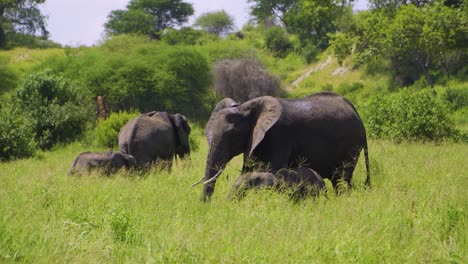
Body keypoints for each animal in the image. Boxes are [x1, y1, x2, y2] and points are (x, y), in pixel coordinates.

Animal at [194, 92, 370, 201]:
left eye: (232, 135)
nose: (205, 206)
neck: (246, 107)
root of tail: (355, 110)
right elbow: (248, 171)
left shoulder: (279, 136)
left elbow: (272, 169)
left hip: (351, 144)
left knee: (341, 178)